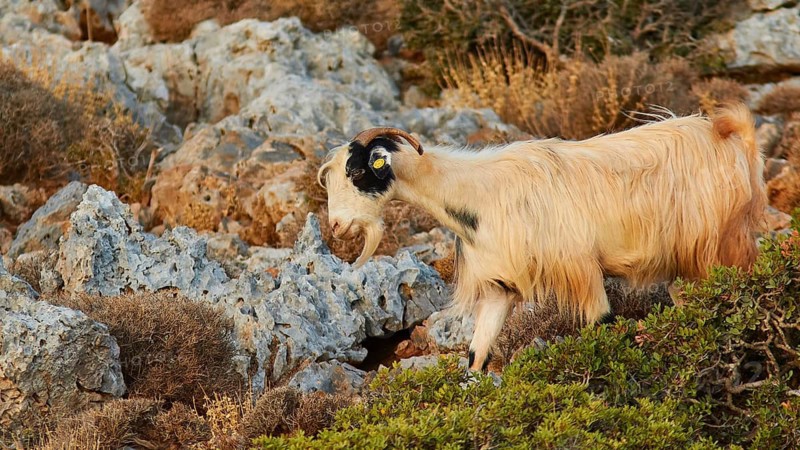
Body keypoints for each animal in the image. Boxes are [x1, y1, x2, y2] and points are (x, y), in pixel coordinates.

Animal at [318, 105, 766, 372]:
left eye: (356, 172)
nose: (336, 227)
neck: (476, 194)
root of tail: (733, 137)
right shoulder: (499, 287)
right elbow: (476, 356)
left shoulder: (581, 270)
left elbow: (602, 326)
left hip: (722, 248)